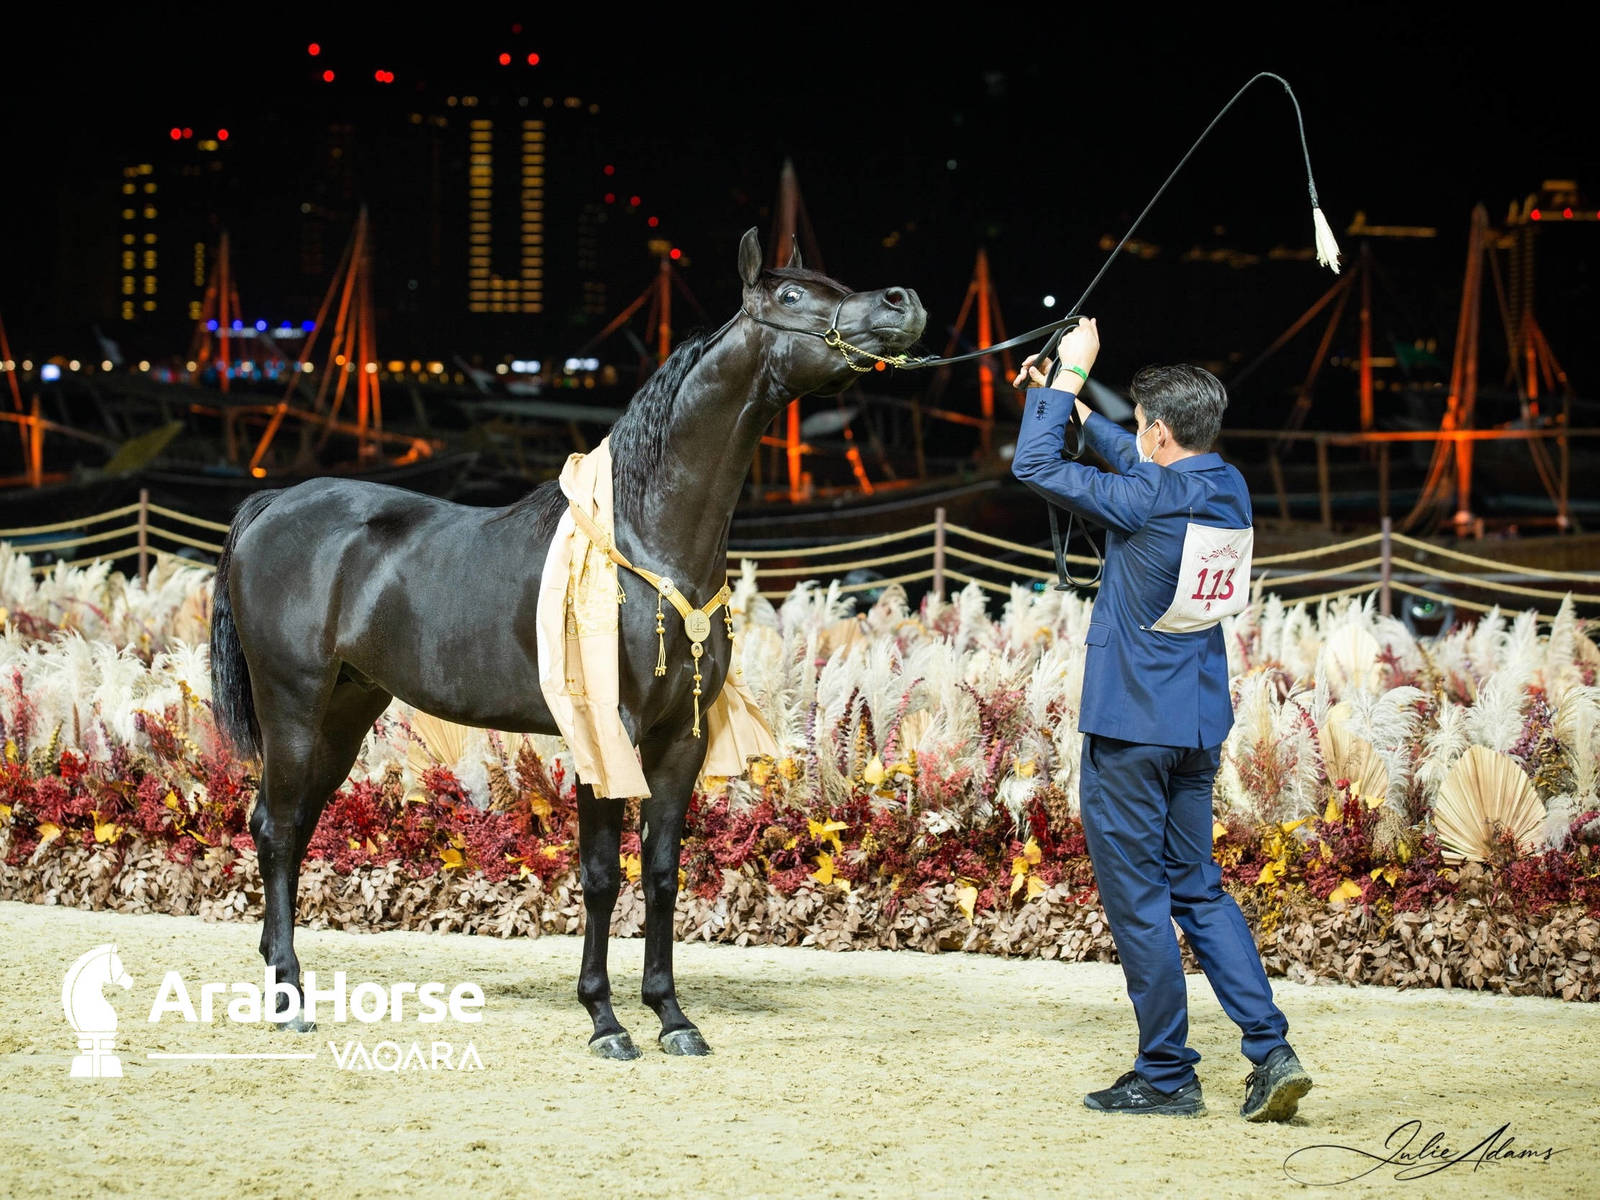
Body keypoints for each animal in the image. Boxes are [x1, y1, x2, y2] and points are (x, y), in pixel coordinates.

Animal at [209, 227, 926, 1059]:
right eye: (790, 295)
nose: (902, 302)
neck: (646, 540)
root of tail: (270, 504)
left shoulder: (678, 742)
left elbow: (663, 873)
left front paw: (672, 1016)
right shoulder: (605, 735)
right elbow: (600, 877)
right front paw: (606, 1020)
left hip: (346, 709)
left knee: (289, 825)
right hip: (291, 704)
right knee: (276, 828)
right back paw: (289, 998)